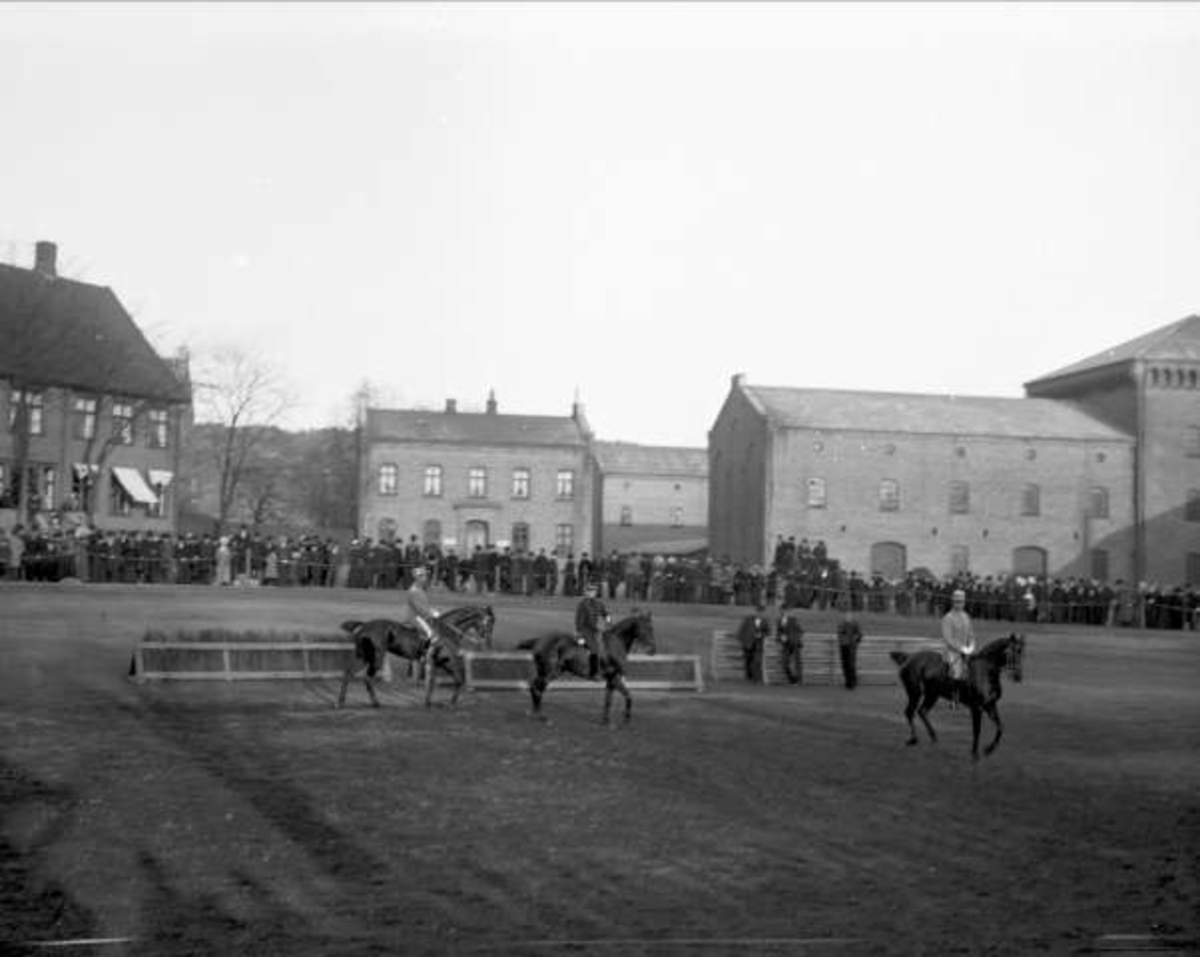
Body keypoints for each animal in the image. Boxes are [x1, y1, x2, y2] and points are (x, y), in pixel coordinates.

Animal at [338, 618, 472, 709]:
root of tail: (363, 626)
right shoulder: (441, 663)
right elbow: (442, 682)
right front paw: (444, 702)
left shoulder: (439, 663)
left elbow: (445, 682)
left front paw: (434, 702)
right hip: (376, 658)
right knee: (366, 678)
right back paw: (375, 703)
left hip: (363, 657)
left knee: (348, 674)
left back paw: (341, 701)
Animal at [516, 614, 657, 729]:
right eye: (647, 628)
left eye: (652, 629)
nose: (653, 650)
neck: (615, 644)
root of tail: (540, 640)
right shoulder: (614, 678)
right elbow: (628, 697)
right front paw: (626, 721)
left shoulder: (611, 680)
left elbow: (609, 700)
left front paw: (606, 722)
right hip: (550, 672)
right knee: (537, 688)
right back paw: (542, 717)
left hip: (546, 671)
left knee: (534, 687)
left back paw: (535, 714)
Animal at [892, 633, 1022, 762]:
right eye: (1011, 651)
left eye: (1021, 652)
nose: (1018, 676)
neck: (984, 671)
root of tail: (909, 658)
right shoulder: (976, 708)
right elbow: (977, 731)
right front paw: (975, 755)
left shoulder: (990, 706)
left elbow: (1000, 727)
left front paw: (988, 750)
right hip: (915, 693)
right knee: (910, 712)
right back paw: (914, 739)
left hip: (932, 695)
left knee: (922, 711)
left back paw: (933, 737)